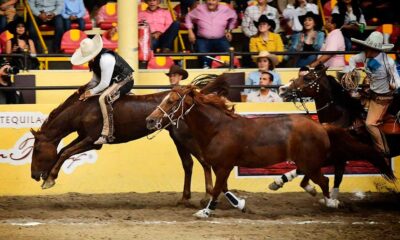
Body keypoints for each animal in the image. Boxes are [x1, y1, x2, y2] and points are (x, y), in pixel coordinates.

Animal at [30, 75, 230, 204]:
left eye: (37, 149)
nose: (34, 175)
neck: (83, 110)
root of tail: (189, 98)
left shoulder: (93, 141)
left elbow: (66, 153)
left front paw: (49, 179)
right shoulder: (82, 137)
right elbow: (63, 151)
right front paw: (49, 177)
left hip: (186, 138)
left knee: (204, 161)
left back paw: (207, 196)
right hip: (178, 138)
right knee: (188, 164)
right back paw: (184, 198)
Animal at [145, 85, 340, 218]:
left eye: (171, 101)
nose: (150, 120)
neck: (217, 129)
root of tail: (321, 126)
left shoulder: (224, 165)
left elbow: (217, 189)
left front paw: (205, 211)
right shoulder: (219, 165)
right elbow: (223, 188)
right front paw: (241, 205)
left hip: (310, 161)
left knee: (323, 180)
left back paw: (330, 202)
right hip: (307, 161)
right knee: (311, 177)